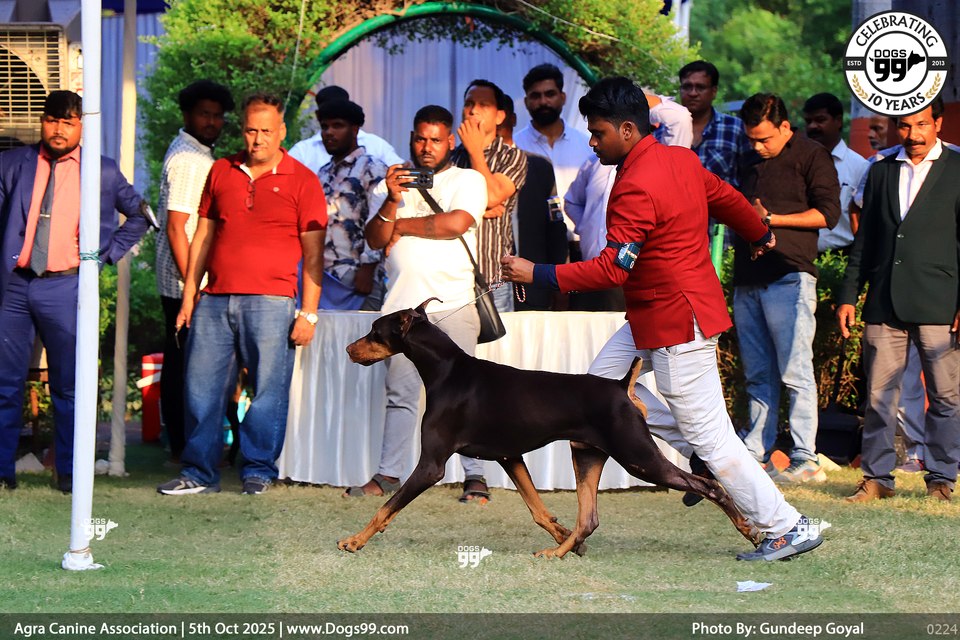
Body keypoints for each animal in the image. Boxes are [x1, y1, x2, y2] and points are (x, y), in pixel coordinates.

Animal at [338, 298, 762, 557]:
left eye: (375, 331)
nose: (348, 349)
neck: (446, 372)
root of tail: (621, 386)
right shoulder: (510, 456)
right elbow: (539, 510)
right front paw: (566, 540)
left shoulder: (431, 465)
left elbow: (386, 507)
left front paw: (354, 540)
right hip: (588, 454)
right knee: (589, 518)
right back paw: (558, 551)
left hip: (638, 457)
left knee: (708, 486)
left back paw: (750, 530)